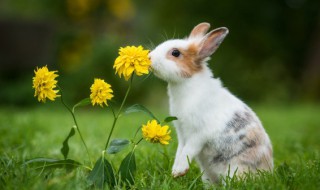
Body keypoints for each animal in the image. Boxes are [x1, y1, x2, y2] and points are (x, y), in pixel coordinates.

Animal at [149, 22, 272, 184]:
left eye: (175, 53)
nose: (149, 57)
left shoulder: (198, 134)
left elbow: (188, 151)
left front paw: (178, 171)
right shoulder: (182, 134)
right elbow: (180, 151)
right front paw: (175, 172)